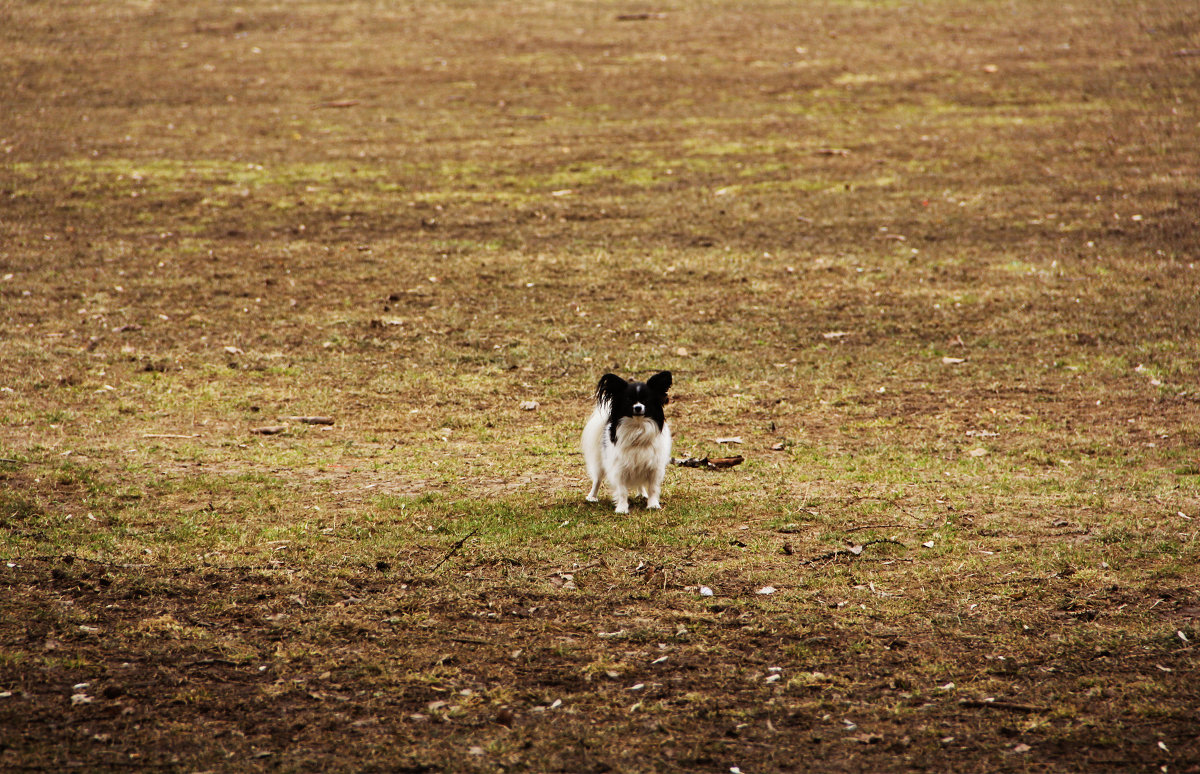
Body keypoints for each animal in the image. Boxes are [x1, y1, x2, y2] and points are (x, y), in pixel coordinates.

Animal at [578, 369, 672, 513]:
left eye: (646, 399)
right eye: (629, 400)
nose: (638, 407)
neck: (638, 427)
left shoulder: (654, 467)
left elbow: (653, 489)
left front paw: (652, 504)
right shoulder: (619, 467)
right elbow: (622, 491)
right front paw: (622, 508)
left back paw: (642, 494)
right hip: (601, 462)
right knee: (597, 479)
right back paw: (592, 497)